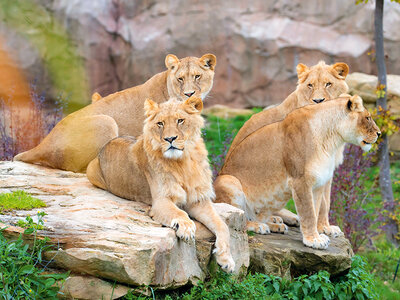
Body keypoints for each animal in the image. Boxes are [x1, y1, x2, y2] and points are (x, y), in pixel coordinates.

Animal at [85, 96, 234, 272]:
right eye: (160, 123)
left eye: (180, 120)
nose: (170, 139)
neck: (183, 162)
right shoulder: (161, 201)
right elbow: (179, 213)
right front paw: (186, 227)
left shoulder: (198, 200)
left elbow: (222, 225)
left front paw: (226, 260)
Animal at [214, 95, 380, 250]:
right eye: (368, 117)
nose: (379, 133)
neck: (331, 139)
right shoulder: (300, 180)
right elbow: (308, 213)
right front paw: (314, 240)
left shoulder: (319, 183)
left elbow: (317, 209)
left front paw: (318, 234)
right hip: (228, 181)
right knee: (237, 219)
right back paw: (259, 226)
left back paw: (276, 225)